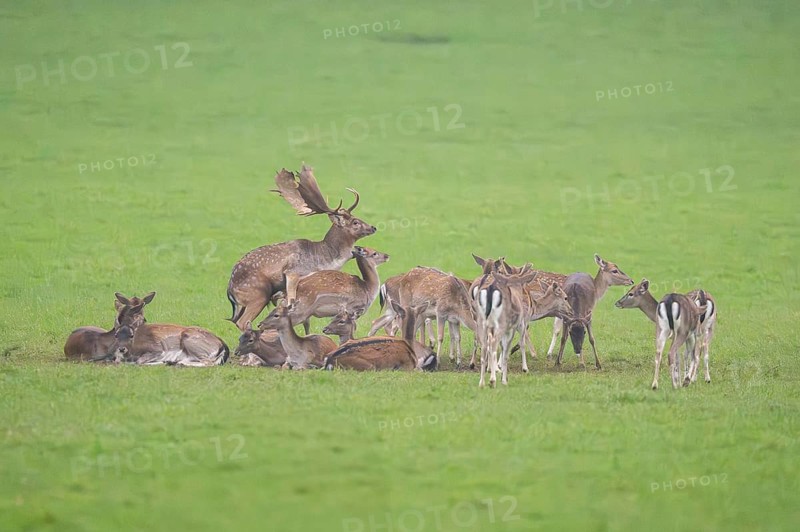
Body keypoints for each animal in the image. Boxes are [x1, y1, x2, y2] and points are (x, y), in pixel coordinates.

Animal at [226, 163, 376, 330]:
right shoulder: (293, 273)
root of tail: (229, 290)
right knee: (242, 321)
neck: (323, 259)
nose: (373, 227)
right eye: (355, 222)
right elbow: (292, 303)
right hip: (257, 294)